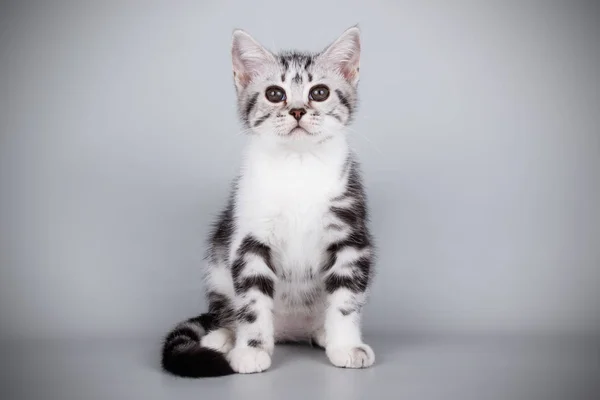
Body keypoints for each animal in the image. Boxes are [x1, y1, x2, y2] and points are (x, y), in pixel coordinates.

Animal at [159, 26, 376, 376]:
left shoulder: (350, 235)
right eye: (275, 94)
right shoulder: (249, 239)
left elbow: (345, 300)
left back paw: (323, 333)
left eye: (319, 92)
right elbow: (252, 302)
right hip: (216, 266)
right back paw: (222, 337)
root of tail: (290, 331)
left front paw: (346, 346)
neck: (298, 164)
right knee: (225, 311)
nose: (298, 110)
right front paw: (251, 350)